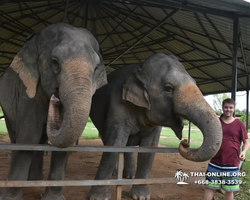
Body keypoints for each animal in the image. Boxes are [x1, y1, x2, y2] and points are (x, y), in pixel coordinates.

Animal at [0, 23, 106, 200]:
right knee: (17, 136)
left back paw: (35, 180)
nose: (56, 98)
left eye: (96, 68)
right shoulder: (27, 90)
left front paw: (53, 197)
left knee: (41, 140)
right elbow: (28, 136)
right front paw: (10, 198)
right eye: (55, 62)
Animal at [89, 53, 222, 200]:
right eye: (168, 88)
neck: (140, 69)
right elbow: (115, 143)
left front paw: (140, 196)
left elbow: (149, 147)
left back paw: (129, 176)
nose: (185, 142)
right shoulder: (117, 102)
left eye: (195, 81)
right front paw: (98, 197)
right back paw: (116, 174)